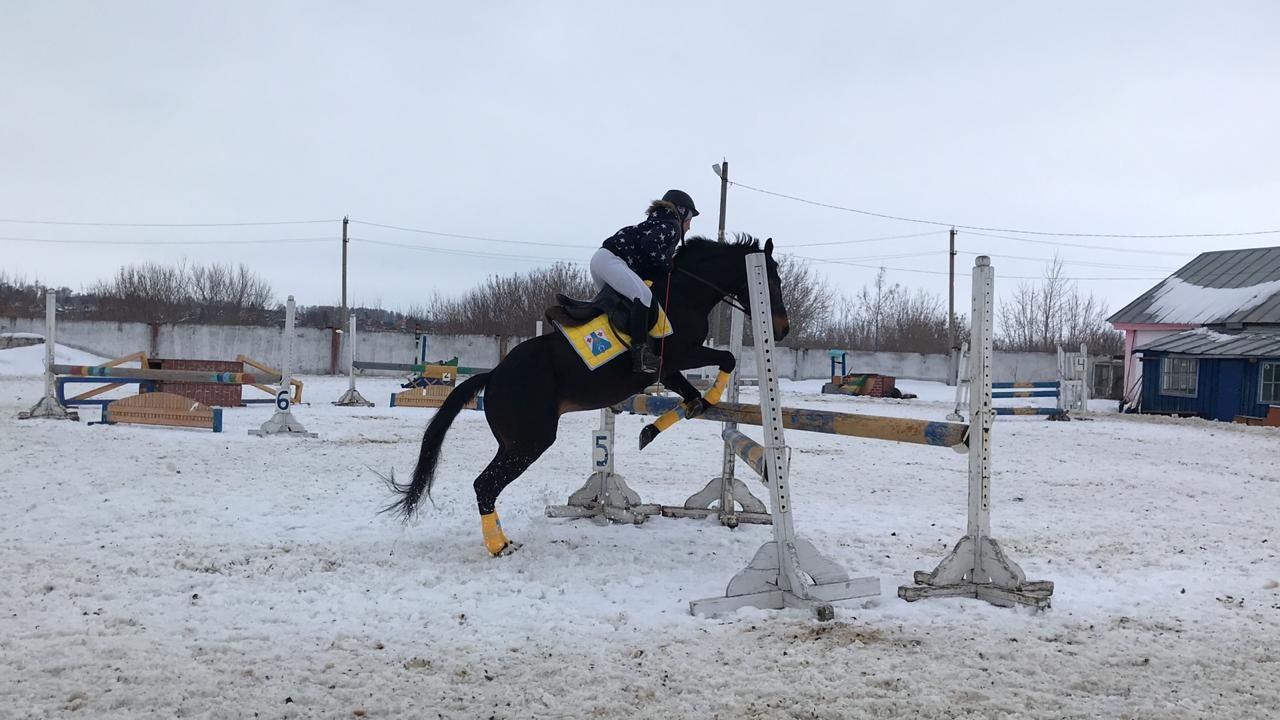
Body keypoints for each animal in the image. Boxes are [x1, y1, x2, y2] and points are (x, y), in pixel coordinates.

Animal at [381, 235, 788, 556]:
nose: (781, 330)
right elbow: (727, 359)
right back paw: (499, 546)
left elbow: (694, 398)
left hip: (513, 441)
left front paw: (653, 429)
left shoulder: (669, 371)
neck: (685, 293)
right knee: (485, 484)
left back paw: (500, 539)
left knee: (488, 482)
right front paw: (677, 415)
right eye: (772, 281)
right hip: (531, 440)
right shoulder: (678, 357)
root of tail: (494, 375)